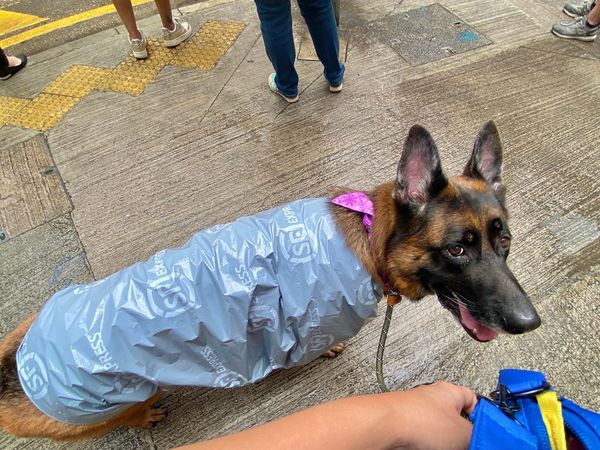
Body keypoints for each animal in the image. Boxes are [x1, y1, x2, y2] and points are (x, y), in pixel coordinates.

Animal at [0, 121, 540, 442]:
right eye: (457, 250)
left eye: (505, 240)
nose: (529, 323)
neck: (370, 240)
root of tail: (16, 365)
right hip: (110, 402)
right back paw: (143, 415)